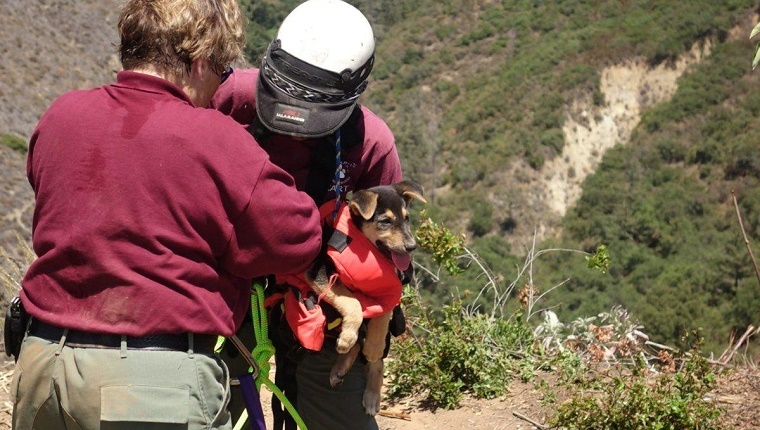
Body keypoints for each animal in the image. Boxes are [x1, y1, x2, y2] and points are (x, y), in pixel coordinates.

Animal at [304, 180, 428, 414]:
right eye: (385, 221)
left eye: (407, 218)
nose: (412, 247)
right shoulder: (318, 272)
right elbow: (353, 302)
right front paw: (348, 338)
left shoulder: (390, 288)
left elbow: (382, 315)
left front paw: (373, 346)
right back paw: (343, 359)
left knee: (378, 361)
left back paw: (371, 395)